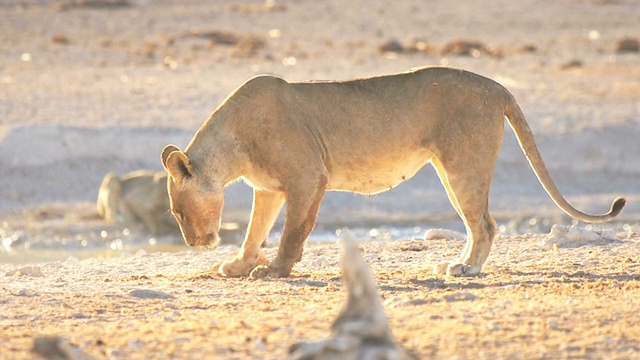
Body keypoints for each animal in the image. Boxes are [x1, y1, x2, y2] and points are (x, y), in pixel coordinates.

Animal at [160, 65, 624, 278]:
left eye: (178, 213)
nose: (195, 243)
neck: (233, 148)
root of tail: (497, 86)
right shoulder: (271, 189)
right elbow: (256, 229)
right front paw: (240, 264)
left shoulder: (308, 177)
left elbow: (292, 233)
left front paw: (274, 270)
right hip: (450, 170)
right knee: (480, 223)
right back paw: (462, 264)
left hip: (463, 165)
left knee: (486, 224)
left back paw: (465, 269)